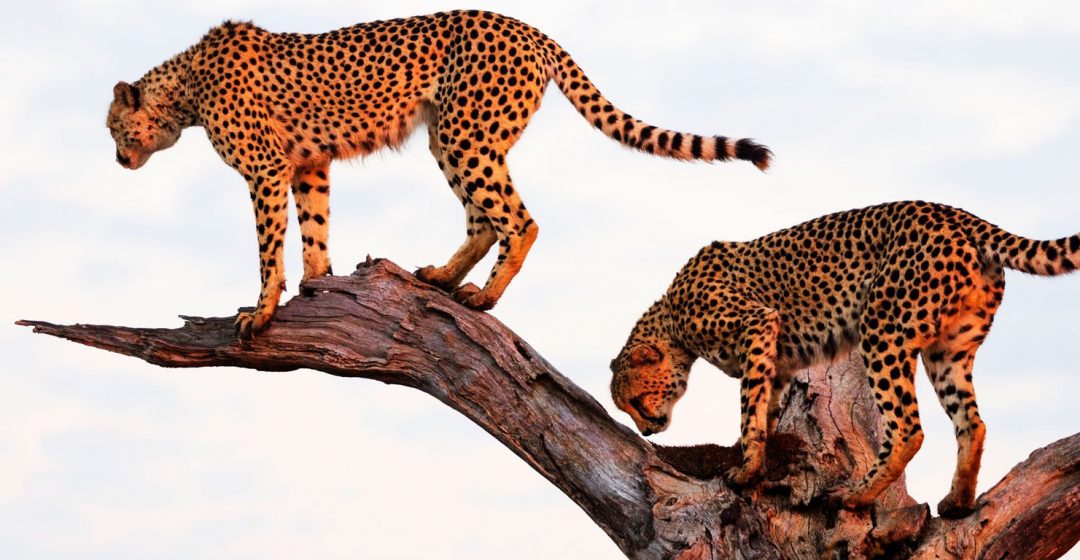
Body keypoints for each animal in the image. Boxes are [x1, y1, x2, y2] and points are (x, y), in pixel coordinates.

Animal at [105, 9, 773, 336]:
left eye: (113, 128)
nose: (116, 158)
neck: (185, 88)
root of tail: (529, 28)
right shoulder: (309, 164)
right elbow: (315, 228)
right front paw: (317, 287)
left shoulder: (266, 171)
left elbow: (269, 248)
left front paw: (262, 311)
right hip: (448, 135)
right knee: (485, 220)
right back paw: (443, 278)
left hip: (465, 132)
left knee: (519, 220)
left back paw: (484, 296)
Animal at [613, 200, 1075, 517]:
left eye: (634, 401)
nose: (647, 430)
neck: (671, 318)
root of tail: (959, 214)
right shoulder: (776, 361)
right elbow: (765, 408)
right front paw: (757, 459)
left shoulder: (757, 324)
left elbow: (748, 411)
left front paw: (746, 470)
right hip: (948, 350)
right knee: (972, 423)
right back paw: (959, 501)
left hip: (882, 330)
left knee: (908, 427)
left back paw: (856, 496)